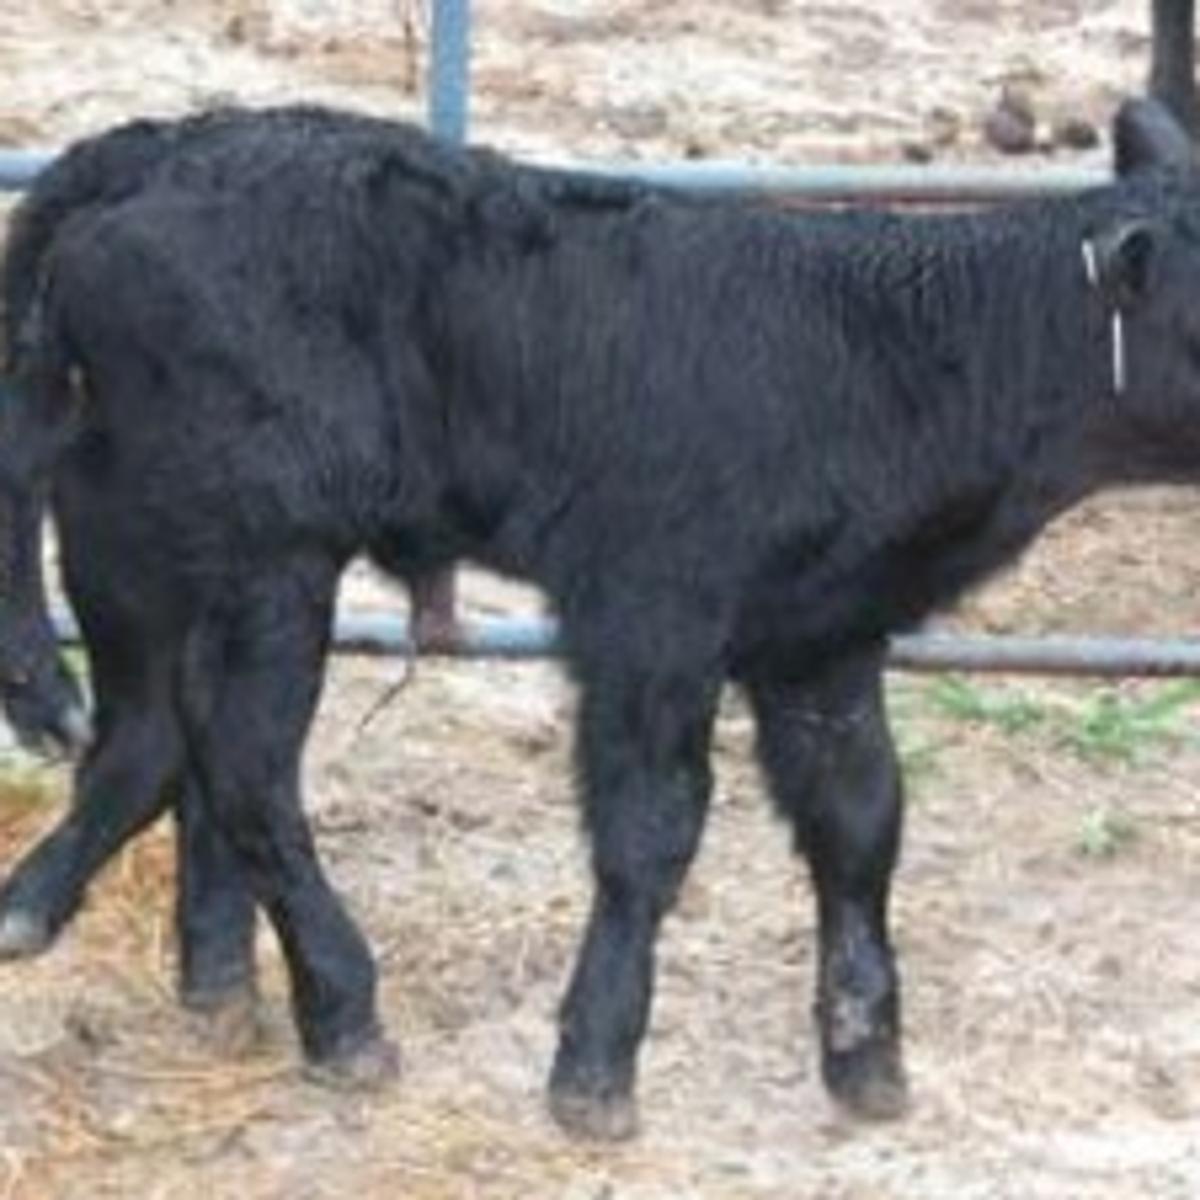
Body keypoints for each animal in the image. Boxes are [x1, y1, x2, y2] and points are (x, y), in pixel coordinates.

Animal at [3, 93, 1200, 1139]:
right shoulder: (650, 617)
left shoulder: (823, 633)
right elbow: (650, 833)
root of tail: (168, 141)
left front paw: (866, 1057)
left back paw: (159, 959)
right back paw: (341, 1014)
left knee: (155, 739)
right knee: (241, 760)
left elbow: (861, 823)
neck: (890, 354)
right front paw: (595, 1068)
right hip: (257, 543)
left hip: (138, 533)